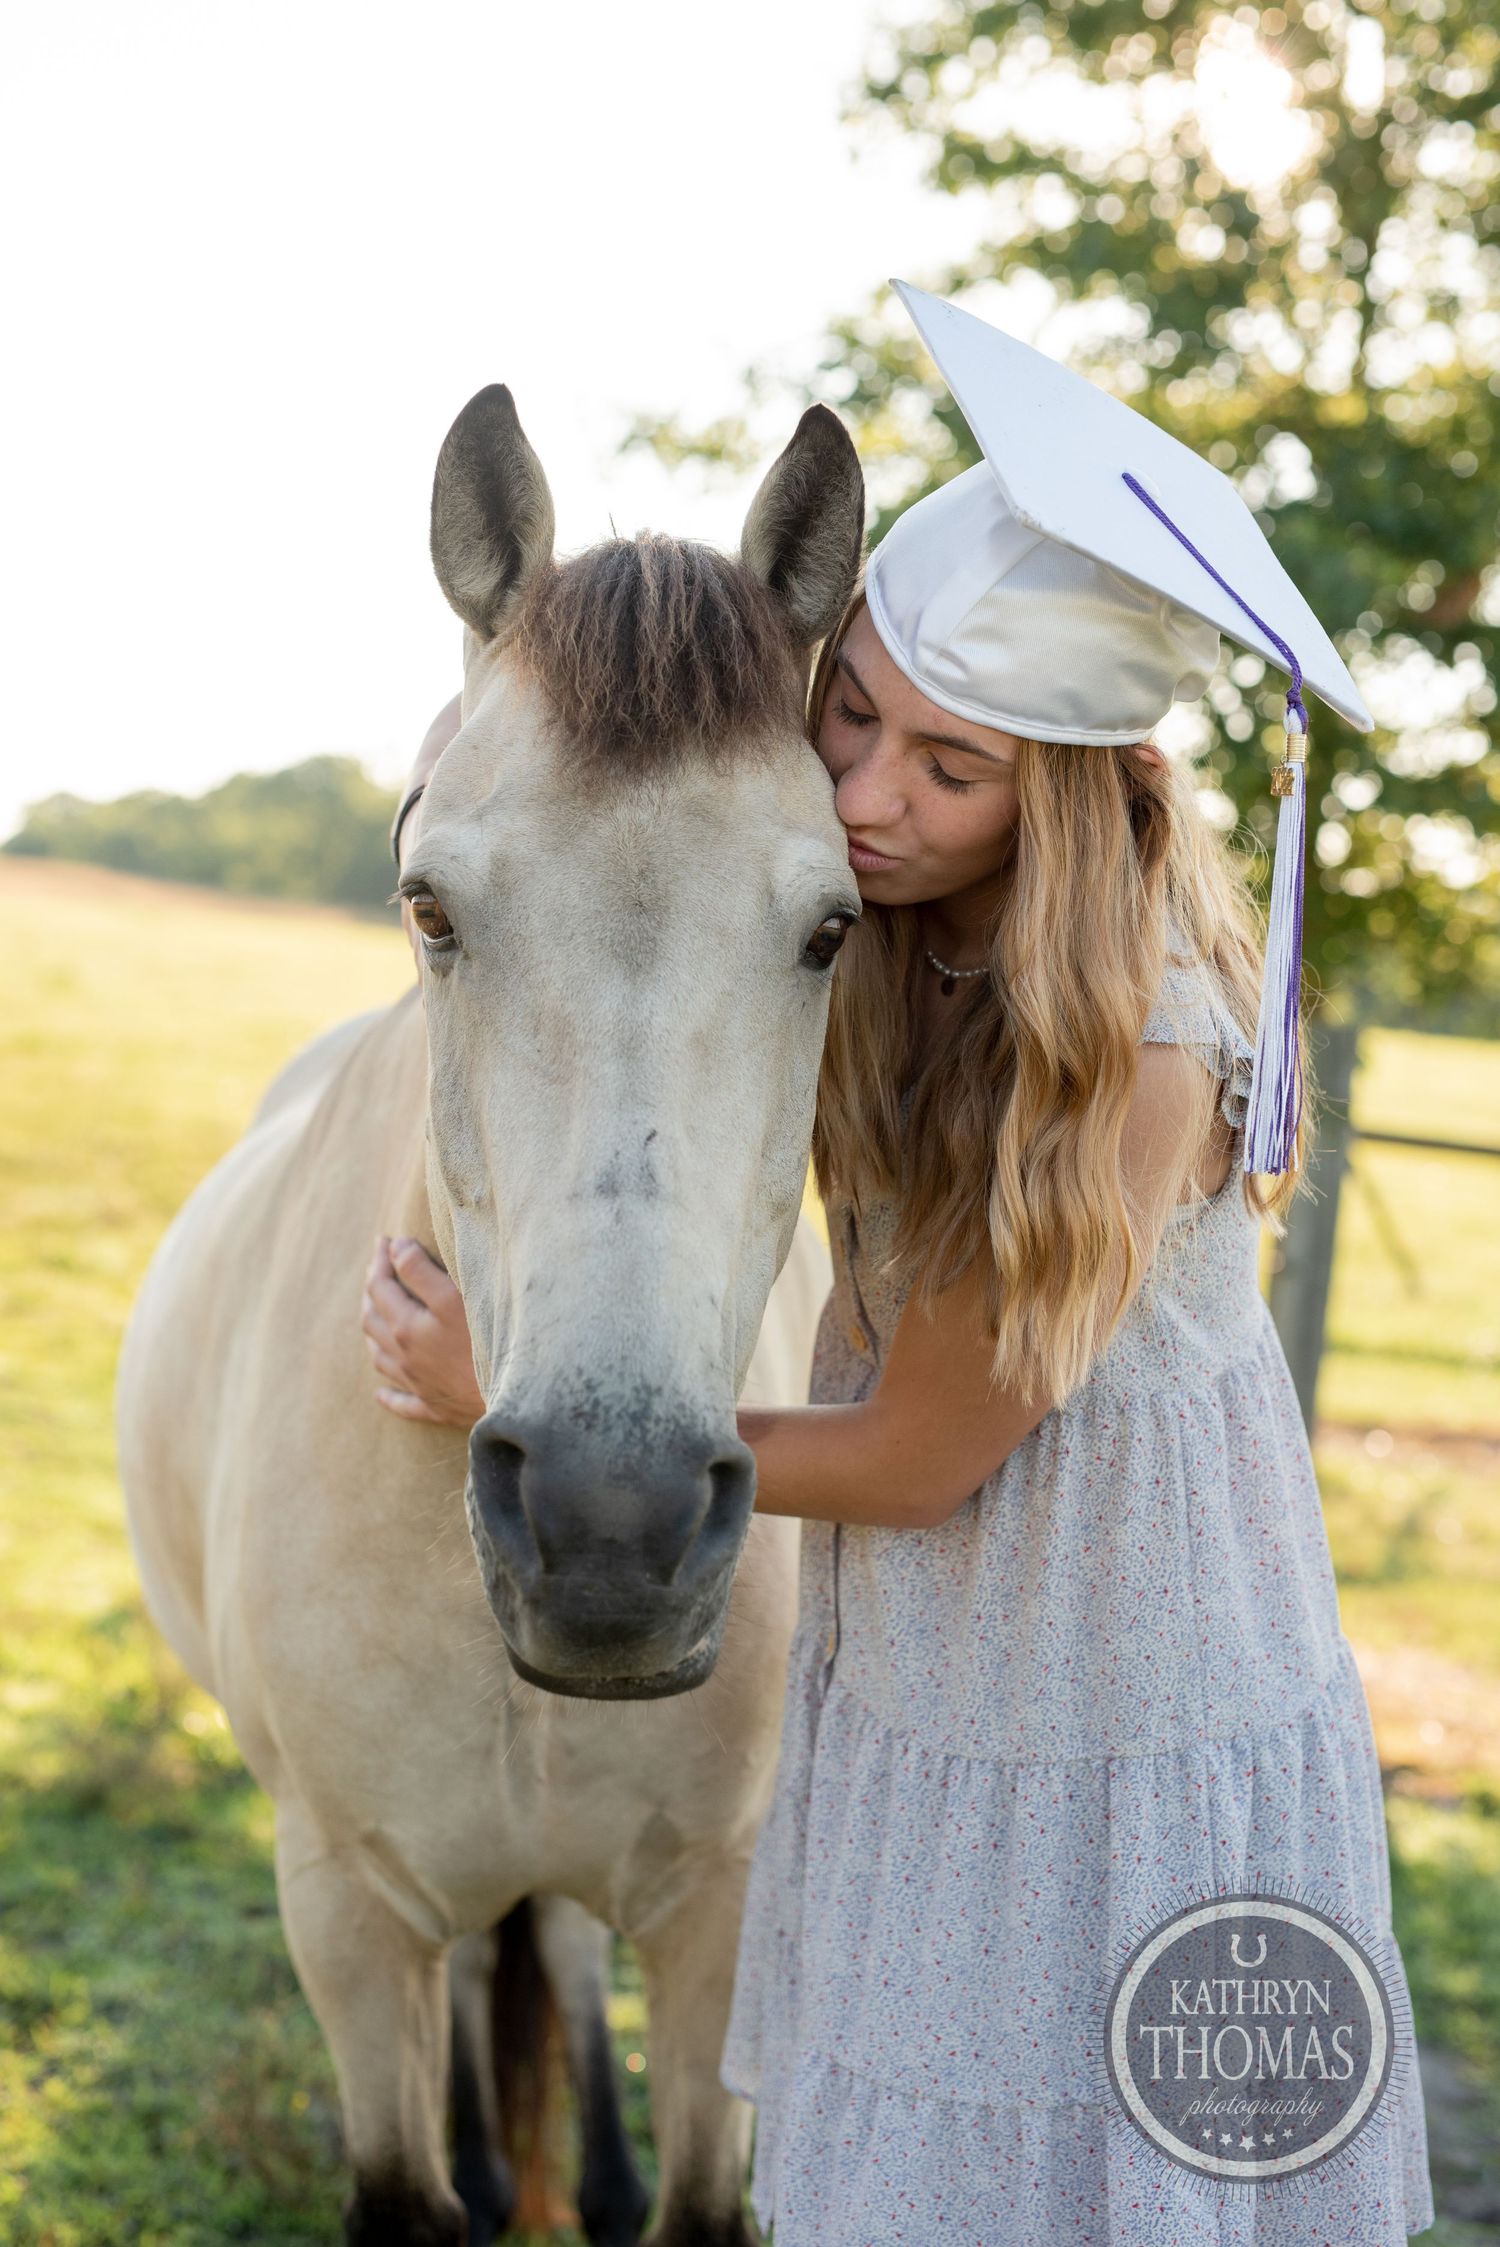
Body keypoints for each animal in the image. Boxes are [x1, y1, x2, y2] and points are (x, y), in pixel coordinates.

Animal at [115, 382, 864, 2247]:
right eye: (429, 904)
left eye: (833, 927)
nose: (612, 1524)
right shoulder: (344, 1909)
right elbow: (406, 2171)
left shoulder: (718, 1918)